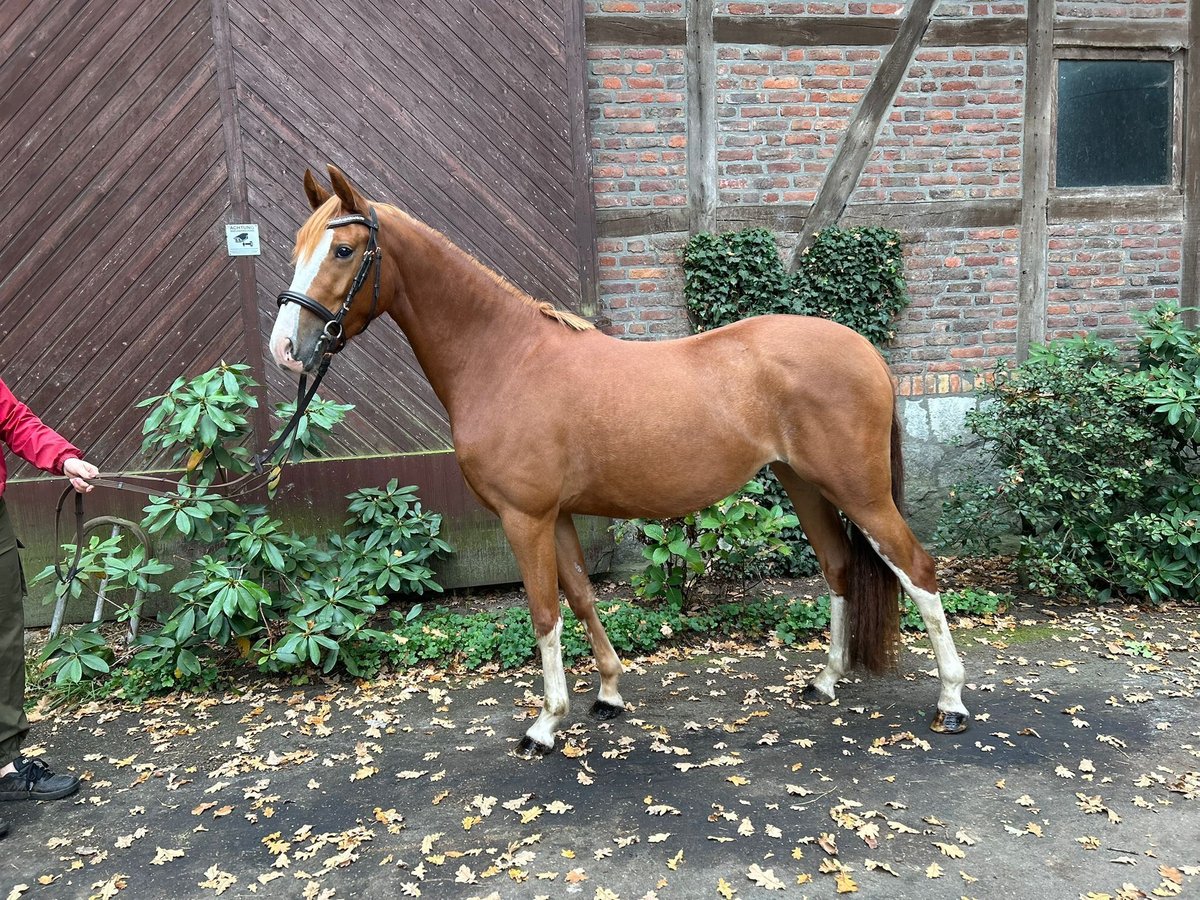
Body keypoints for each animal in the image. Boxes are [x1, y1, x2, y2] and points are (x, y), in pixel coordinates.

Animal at [268, 165, 969, 756]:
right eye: (296, 248)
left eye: (343, 251)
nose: (285, 349)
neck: (504, 358)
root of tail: (865, 350)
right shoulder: (555, 515)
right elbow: (580, 595)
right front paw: (607, 692)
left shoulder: (523, 517)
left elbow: (545, 611)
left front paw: (545, 724)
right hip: (804, 485)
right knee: (839, 567)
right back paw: (825, 681)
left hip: (860, 492)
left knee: (917, 569)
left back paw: (951, 701)